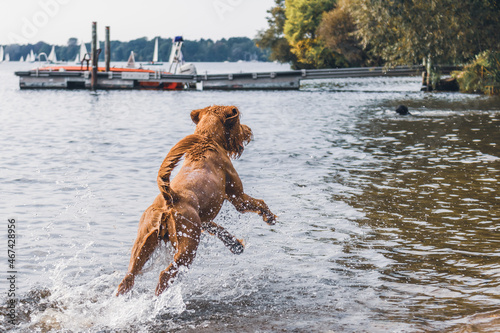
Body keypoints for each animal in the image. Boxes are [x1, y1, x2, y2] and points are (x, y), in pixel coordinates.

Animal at [116, 105, 278, 294]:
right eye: (238, 123)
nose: (249, 130)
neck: (207, 140)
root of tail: (170, 199)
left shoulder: (204, 218)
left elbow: (218, 229)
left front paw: (235, 244)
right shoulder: (238, 198)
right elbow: (259, 203)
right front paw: (270, 217)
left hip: (143, 242)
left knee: (128, 278)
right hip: (187, 247)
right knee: (165, 274)